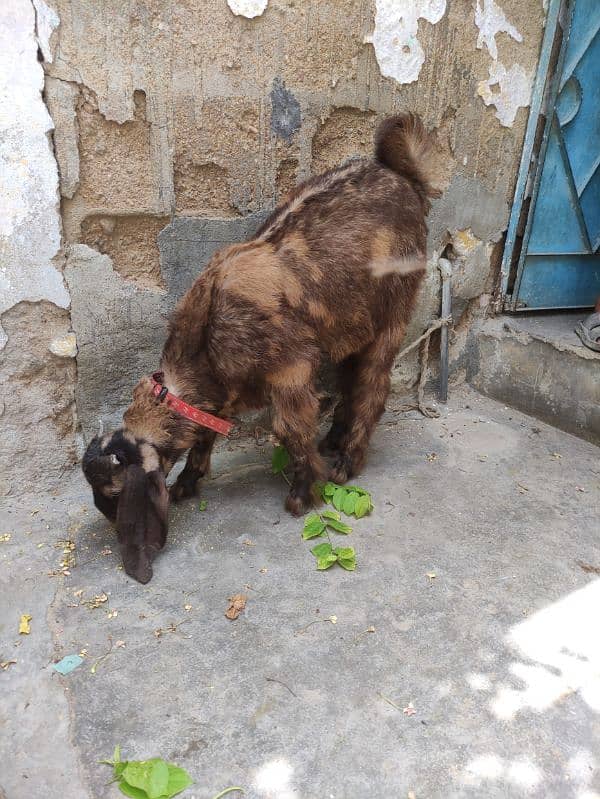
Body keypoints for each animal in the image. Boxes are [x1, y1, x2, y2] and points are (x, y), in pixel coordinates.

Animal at [82, 113, 441, 583]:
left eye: (112, 490)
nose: (110, 521)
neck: (208, 335)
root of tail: (401, 175)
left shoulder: (293, 369)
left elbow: (290, 429)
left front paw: (303, 493)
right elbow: (204, 436)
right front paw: (186, 484)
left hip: (392, 314)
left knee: (372, 387)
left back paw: (347, 461)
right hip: (352, 324)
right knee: (349, 381)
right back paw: (334, 440)